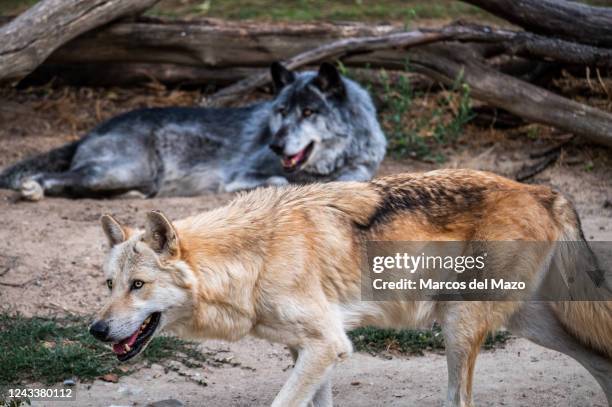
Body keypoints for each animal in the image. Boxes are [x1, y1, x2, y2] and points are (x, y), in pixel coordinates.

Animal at [0, 63, 384, 202]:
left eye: (308, 112)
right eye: (281, 111)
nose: (274, 145)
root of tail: (89, 131)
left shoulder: (358, 171)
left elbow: (350, 181)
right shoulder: (242, 175)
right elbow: (279, 181)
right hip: (117, 170)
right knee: (54, 179)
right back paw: (31, 189)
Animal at [89, 170, 612, 407]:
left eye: (139, 285)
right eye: (110, 284)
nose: (95, 329)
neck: (256, 257)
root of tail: (545, 191)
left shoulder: (327, 345)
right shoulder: (314, 350)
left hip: (459, 327)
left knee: (460, 400)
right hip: (531, 323)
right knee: (600, 358)